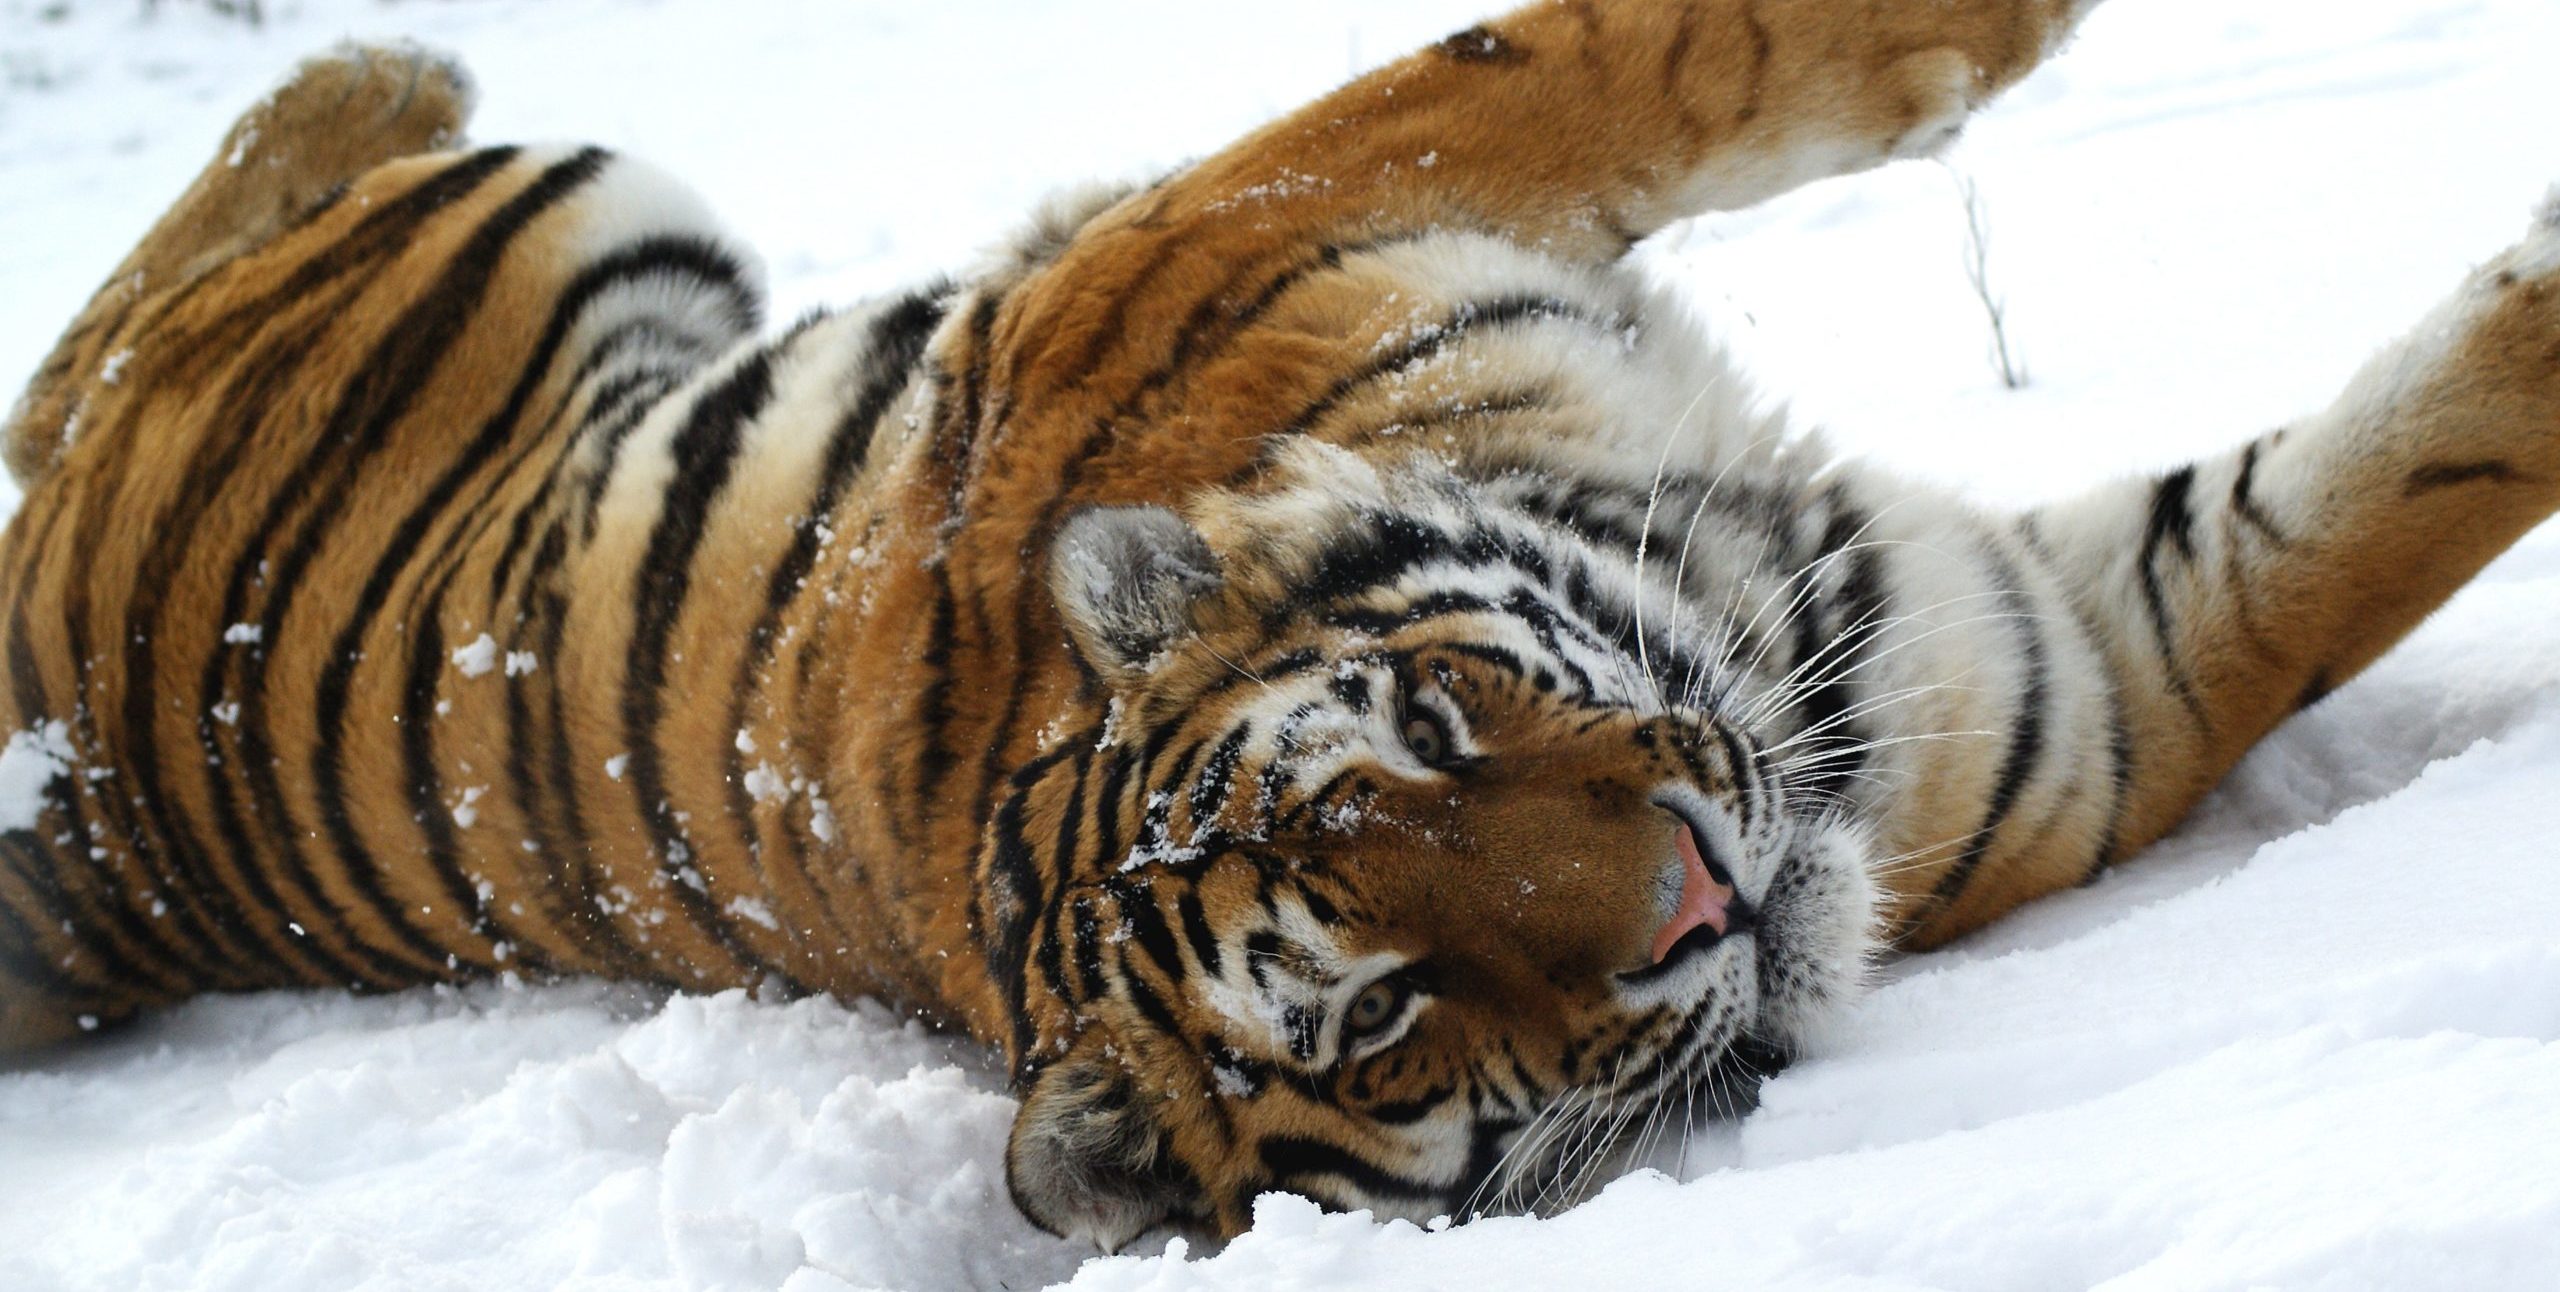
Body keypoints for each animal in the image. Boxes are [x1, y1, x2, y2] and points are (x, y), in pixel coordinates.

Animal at [3, 0, 2557, 1250]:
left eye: (1429, 720)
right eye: (1391, 1011)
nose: (1699, 896)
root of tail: (95, 836)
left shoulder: (1274, 205)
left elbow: (1637, 43)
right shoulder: (2095, 664)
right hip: (546, 231)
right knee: (98, 343)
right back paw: (379, 62)